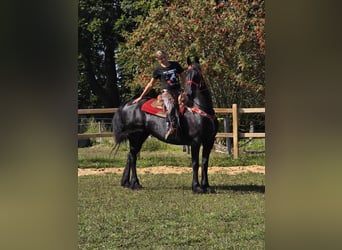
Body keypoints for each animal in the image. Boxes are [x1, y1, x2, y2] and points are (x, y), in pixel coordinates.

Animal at [112, 57, 219, 193]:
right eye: (187, 74)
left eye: (197, 74)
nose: (188, 94)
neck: (200, 111)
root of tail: (127, 105)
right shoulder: (195, 141)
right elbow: (195, 163)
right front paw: (196, 187)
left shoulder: (209, 141)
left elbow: (205, 163)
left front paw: (207, 186)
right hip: (136, 136)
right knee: (133, 157)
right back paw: (135, 183)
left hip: (141, 136)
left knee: (130, 155)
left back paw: (126, 182)